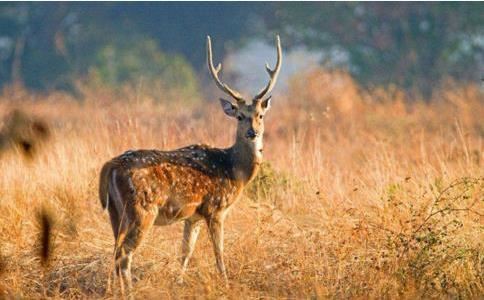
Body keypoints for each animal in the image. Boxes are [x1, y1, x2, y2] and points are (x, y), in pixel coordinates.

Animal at [98, 35, 280, 292]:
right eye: (240, 116)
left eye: (260, 115)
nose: (252, 133)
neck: (234, 170)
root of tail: (110, 166)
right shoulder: (215, 207)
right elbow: (219, 251)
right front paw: (225, 282)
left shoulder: (193, 215)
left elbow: (186, 251)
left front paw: (179, 281)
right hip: (142, 209)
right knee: (124, 254)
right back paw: (130, 292)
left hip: (115, 212)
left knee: (115, 251)